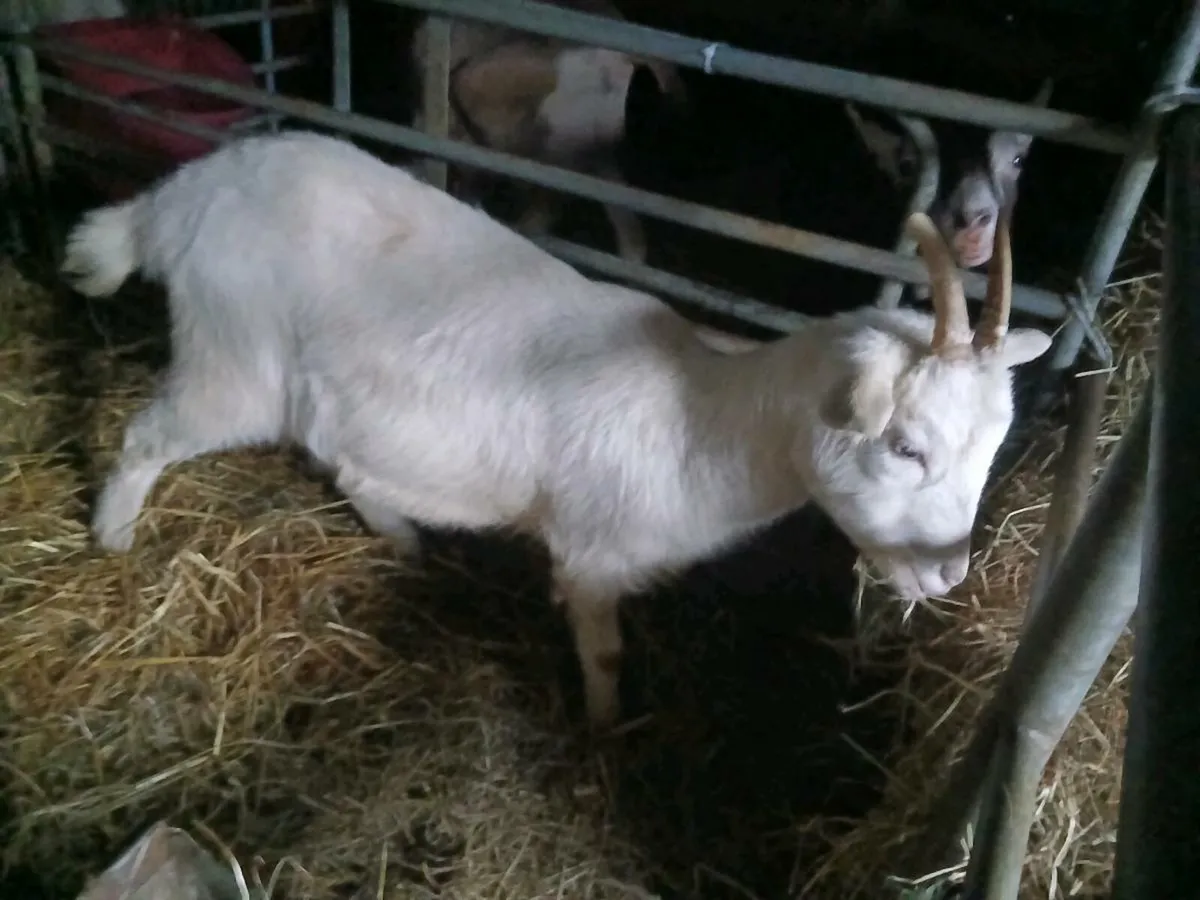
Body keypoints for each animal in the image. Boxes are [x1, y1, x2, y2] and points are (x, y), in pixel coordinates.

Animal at [61, 130, 1052, 730]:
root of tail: (176, 199)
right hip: (232, 354)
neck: (701, 416)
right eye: (906, 446)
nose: (949, 573)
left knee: (336, 452)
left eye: (989, 454)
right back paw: (112, 535)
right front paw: (605, 733)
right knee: (149, 435)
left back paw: (401, 534)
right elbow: (605, 654)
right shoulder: (591, 555)